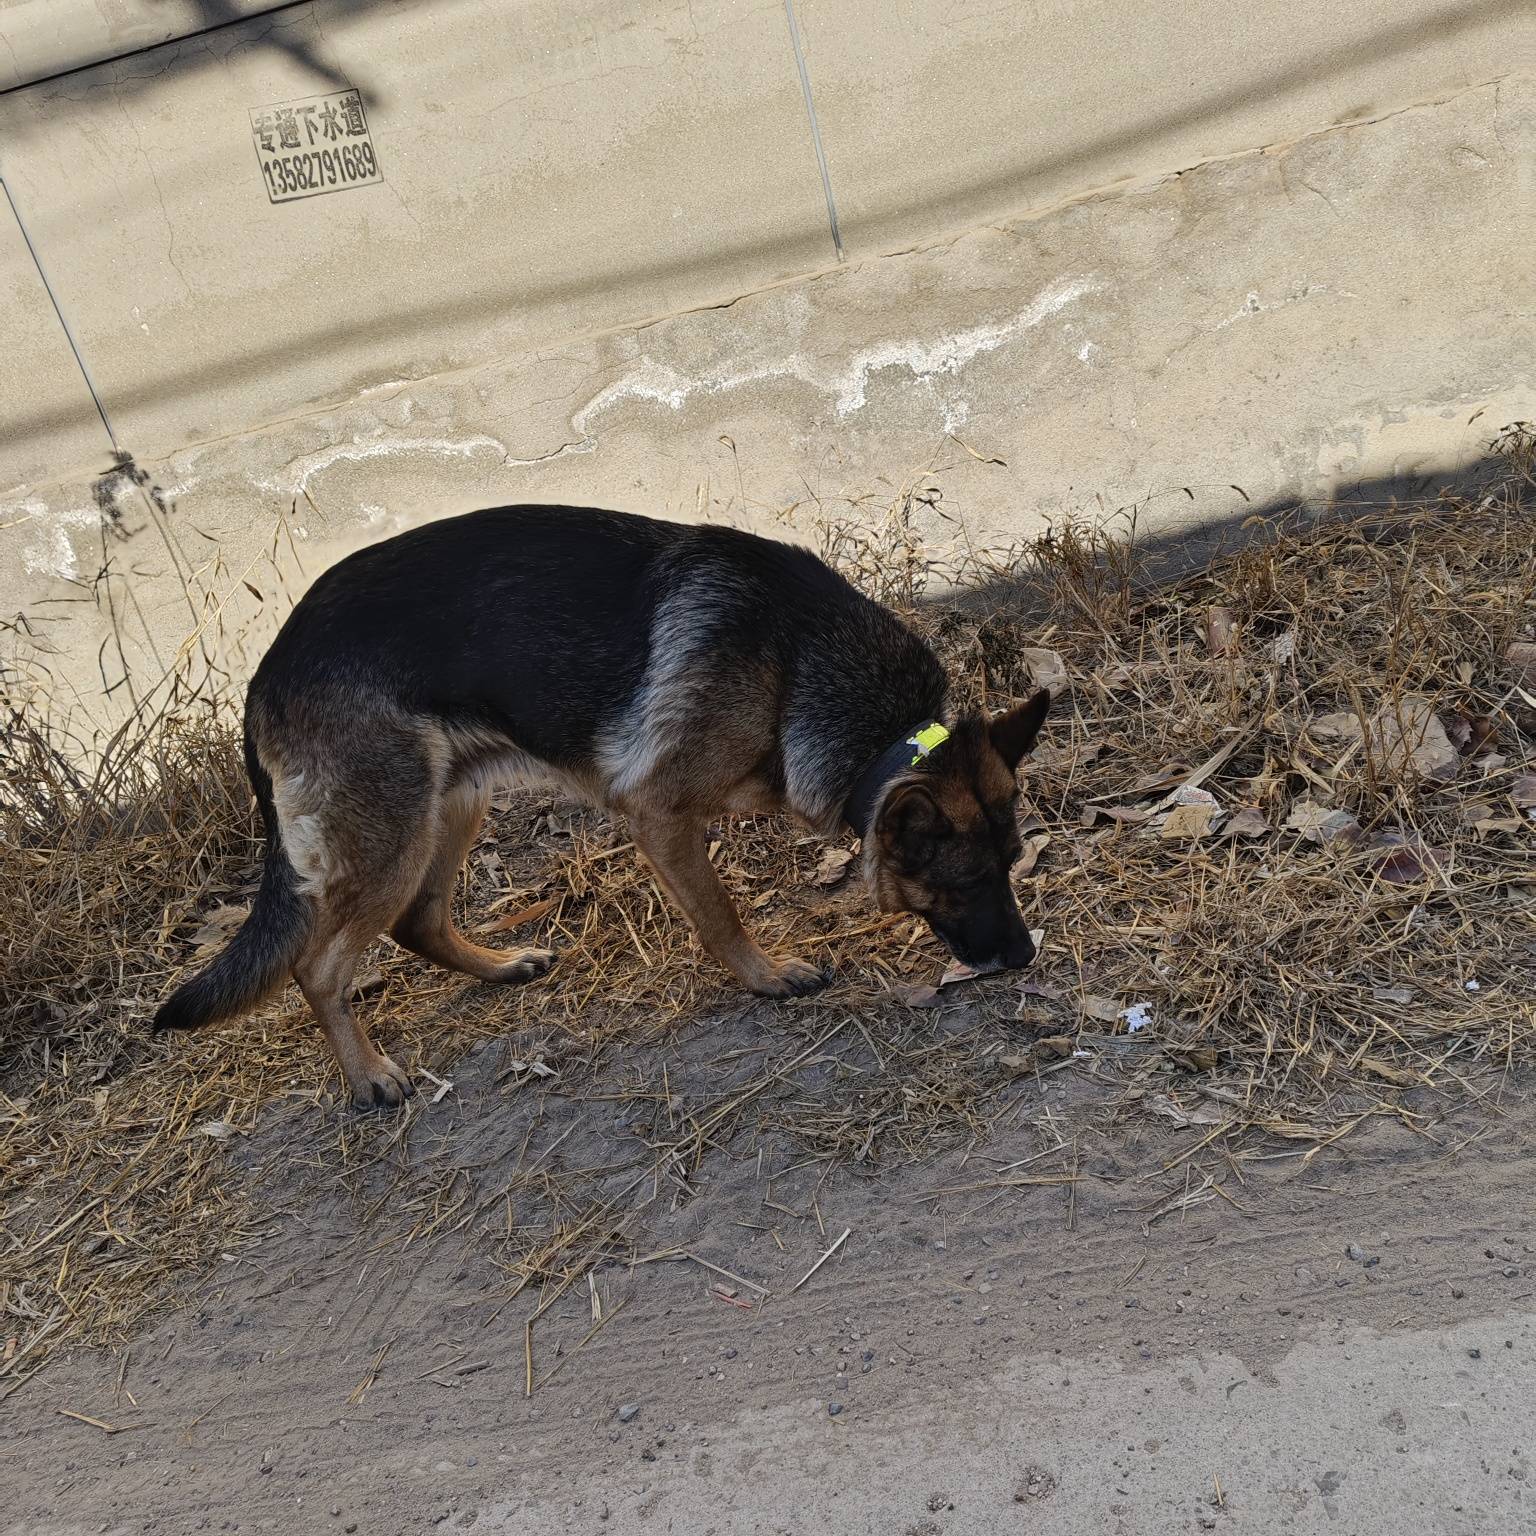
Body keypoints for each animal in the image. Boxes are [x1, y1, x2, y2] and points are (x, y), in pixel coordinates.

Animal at [154, 505, 1050, 1106]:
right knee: (318, 965)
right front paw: (767, 977)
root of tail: (266, 671)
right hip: (393, 836)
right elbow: (720, 914)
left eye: (1011, 866)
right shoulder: (658, 813)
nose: (1024, 957)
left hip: (454, 804)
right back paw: (369, 1075)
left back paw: (500, 966)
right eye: (966, 883)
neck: (799, 664)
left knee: (419, 921)